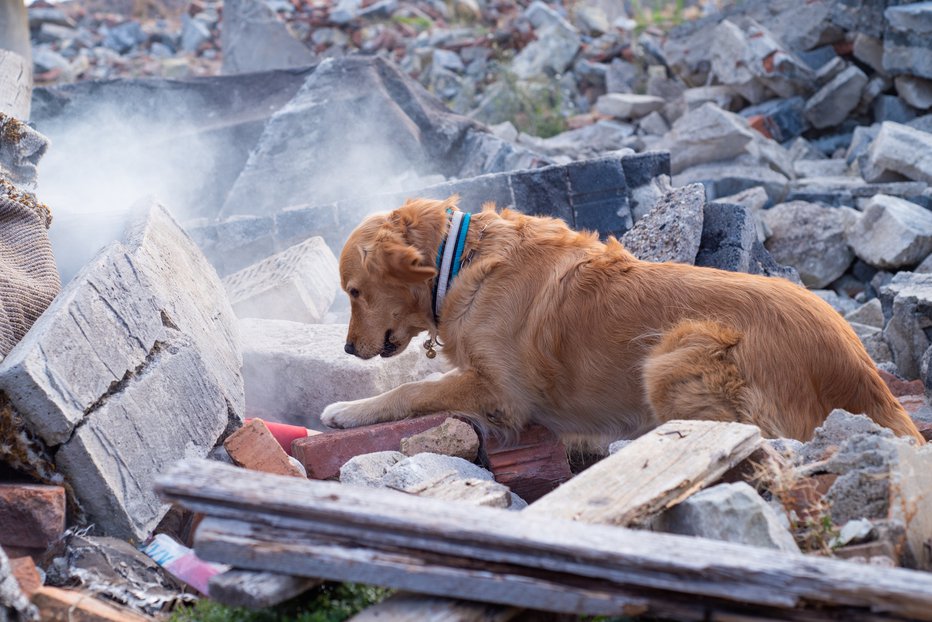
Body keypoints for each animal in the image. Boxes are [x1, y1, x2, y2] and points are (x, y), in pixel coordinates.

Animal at [320, 195, 924, 444]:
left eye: (354, 292)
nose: (347, 350)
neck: (459, 259)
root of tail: (862, 372)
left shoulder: (504, 394)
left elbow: (413, 391)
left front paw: (348, 410)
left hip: (673, 352)